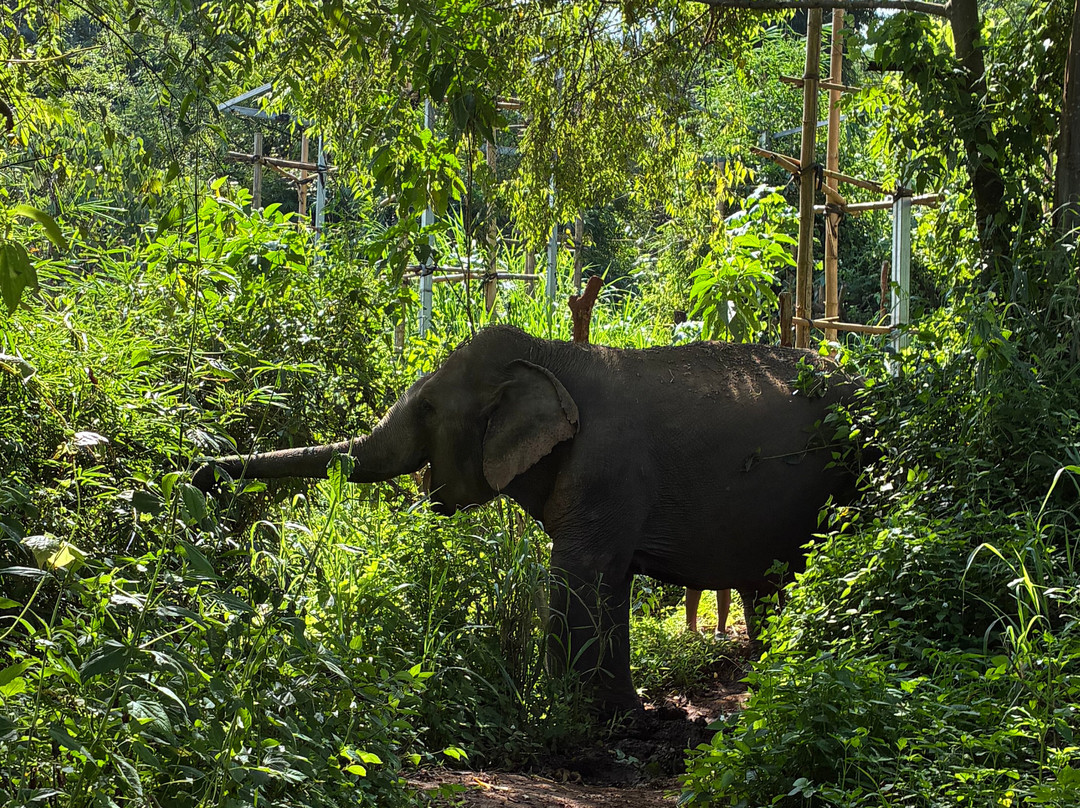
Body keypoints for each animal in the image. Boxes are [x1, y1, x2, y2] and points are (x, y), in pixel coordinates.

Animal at [192, 325, 861, 712]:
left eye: (428, 407)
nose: (198, 471)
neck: (552, 356)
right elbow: (609, 582)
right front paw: (622, 711)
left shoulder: (607, 466)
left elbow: (580, 574)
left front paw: (570, 714)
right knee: (771, 587)